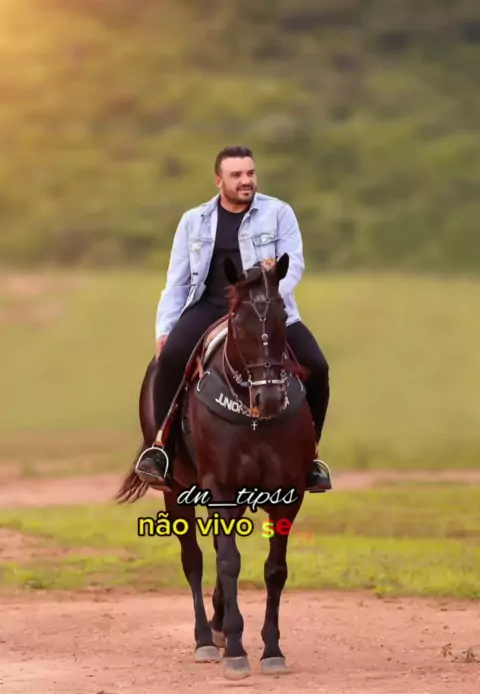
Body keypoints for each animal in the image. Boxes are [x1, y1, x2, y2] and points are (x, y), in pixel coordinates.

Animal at [115, 253, 317, 680]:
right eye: (238, 321)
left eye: (280, 315)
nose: (269, 398)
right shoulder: (220, 490)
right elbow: (227, 562)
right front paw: (237, 652)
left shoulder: (288, 493)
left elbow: (274, 568)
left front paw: (272, 649)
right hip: (176, 491)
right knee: (193, 559)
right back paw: (207, 640)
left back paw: (219, 626)